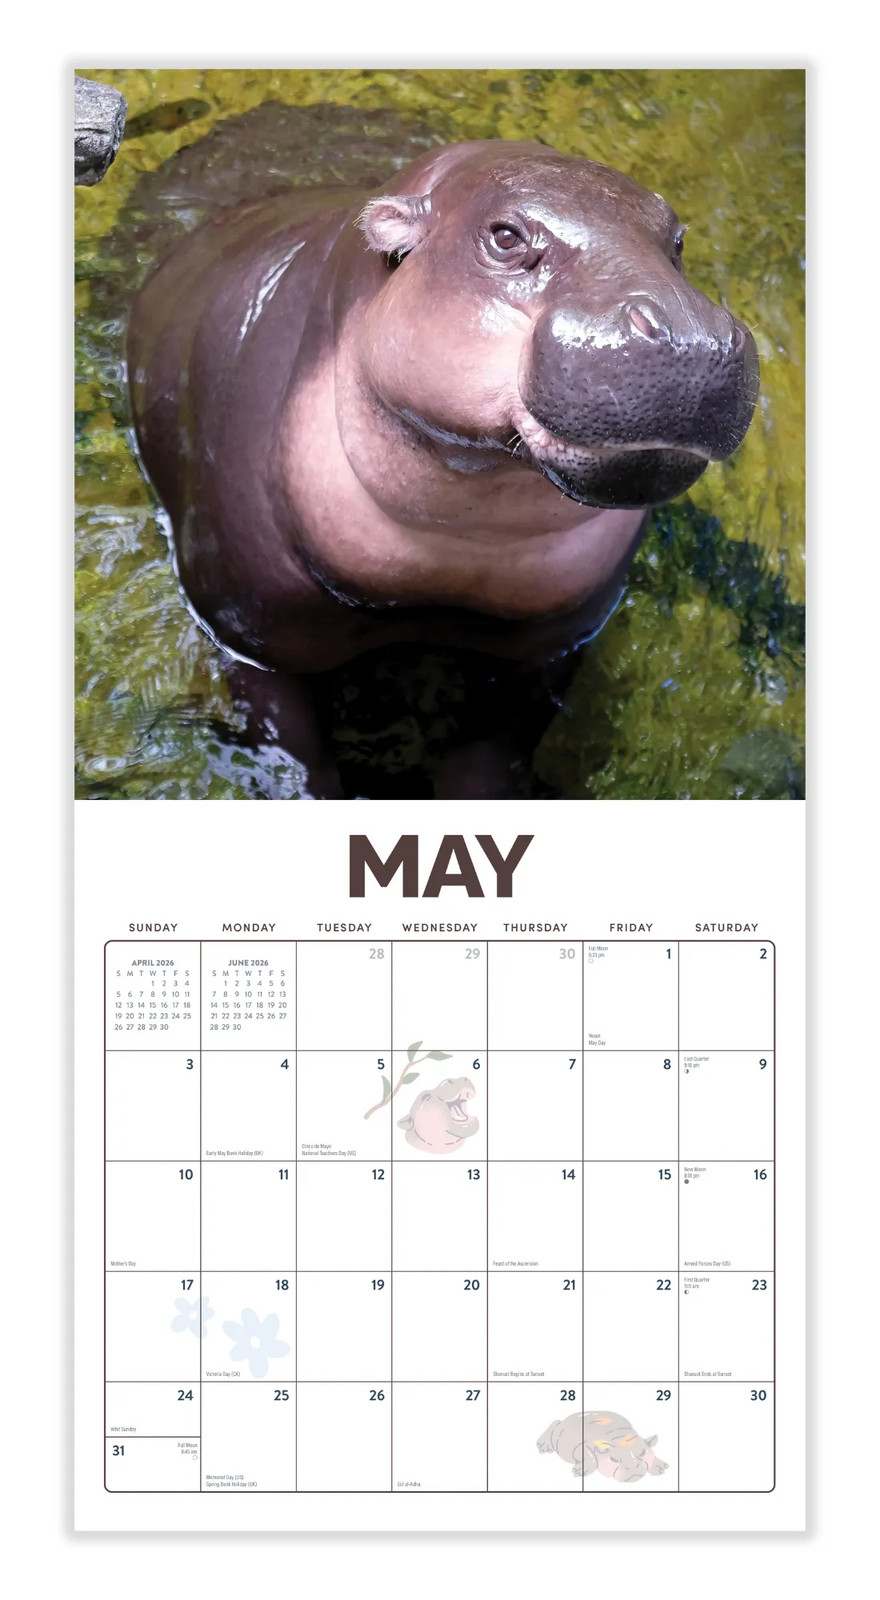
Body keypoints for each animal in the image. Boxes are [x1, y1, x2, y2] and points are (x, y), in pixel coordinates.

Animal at [128, 137, 758, 797]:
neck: (463, 538)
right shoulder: (251, 634)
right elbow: (288, 748)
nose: (692, 337)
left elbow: (493, 750)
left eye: (677, 241)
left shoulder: (550, 648)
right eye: (504, 235)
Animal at [537, 1411, 669, 1482]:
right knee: (554, 1422)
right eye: (613, 1459)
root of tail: (565, 1419)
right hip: (557, 1430)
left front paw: (661, 1466)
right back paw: (542, 1445)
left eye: (642, 1452)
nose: (632, 1467)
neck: (618, 1437)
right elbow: (589, 1455)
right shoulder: (581, 1446)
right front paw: (579, 1470)